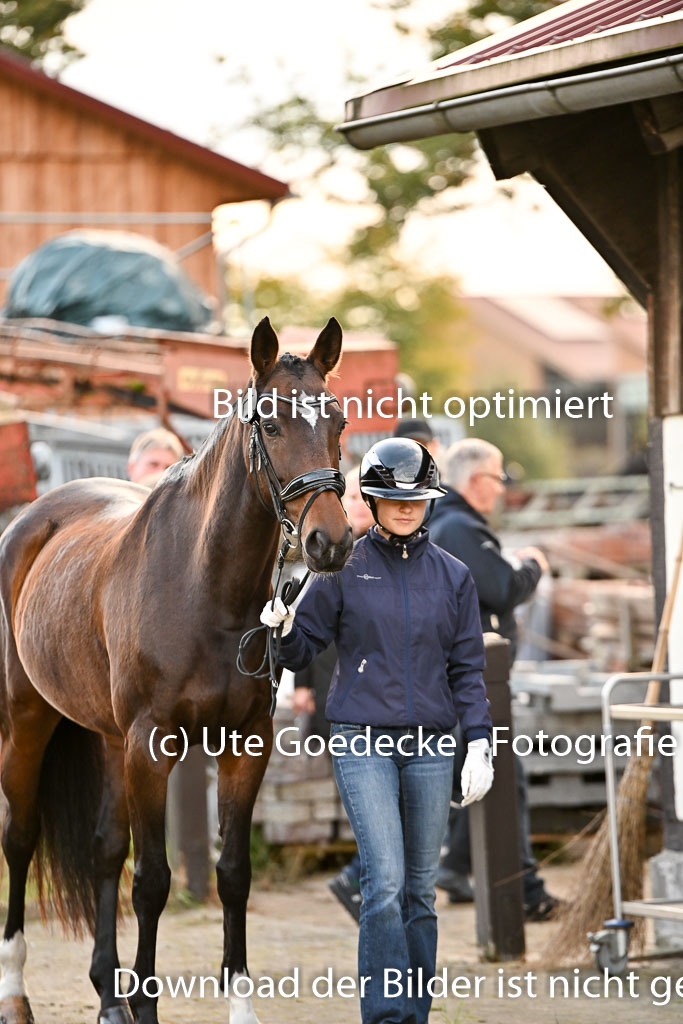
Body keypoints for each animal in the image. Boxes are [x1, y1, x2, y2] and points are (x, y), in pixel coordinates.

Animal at [0, 316, 353, 1024]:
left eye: (337, 420)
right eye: (271, 424)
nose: (330, 542)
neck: (204, 587)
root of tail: (33, 517)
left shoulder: (246, 745)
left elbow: (233, 874)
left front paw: (237, 1005)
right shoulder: (151, 746)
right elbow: (154, 881)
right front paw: (147, 1006)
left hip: (108, 739)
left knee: (104, 849)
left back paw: (108, 997)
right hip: (29, 721)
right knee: (20, 838)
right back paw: (16, 994)